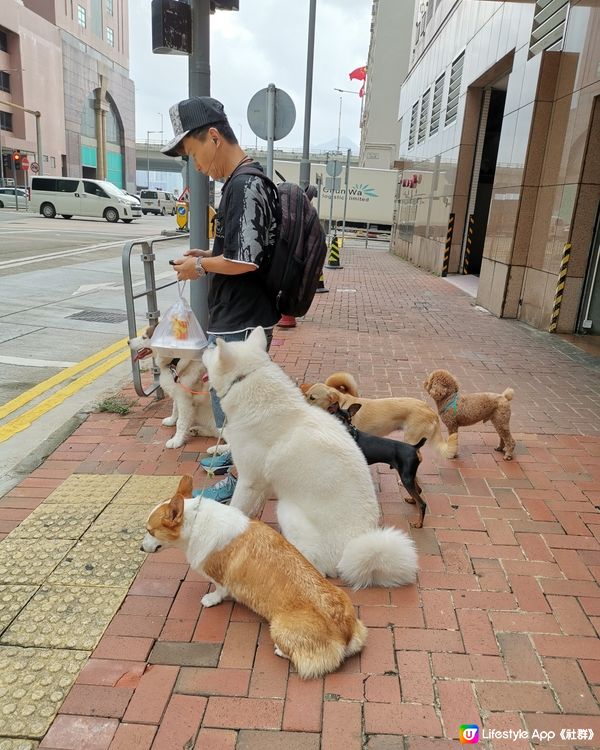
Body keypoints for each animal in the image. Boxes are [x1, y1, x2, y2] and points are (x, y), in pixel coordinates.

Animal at [142, 478, 366, 684]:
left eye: (150, 531)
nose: (140, 548)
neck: (195, 522)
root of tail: (344, 632)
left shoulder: (219, 576)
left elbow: (219, 589)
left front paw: (211, 599)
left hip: (277, 627)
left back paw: (280, 650)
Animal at [202, 328, 418, 592]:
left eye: (214, 348)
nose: (205, 347)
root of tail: (350, 551)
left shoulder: (249, 480)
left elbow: (236, 507)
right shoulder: (261, 483)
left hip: (286, 509)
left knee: (316, 567)